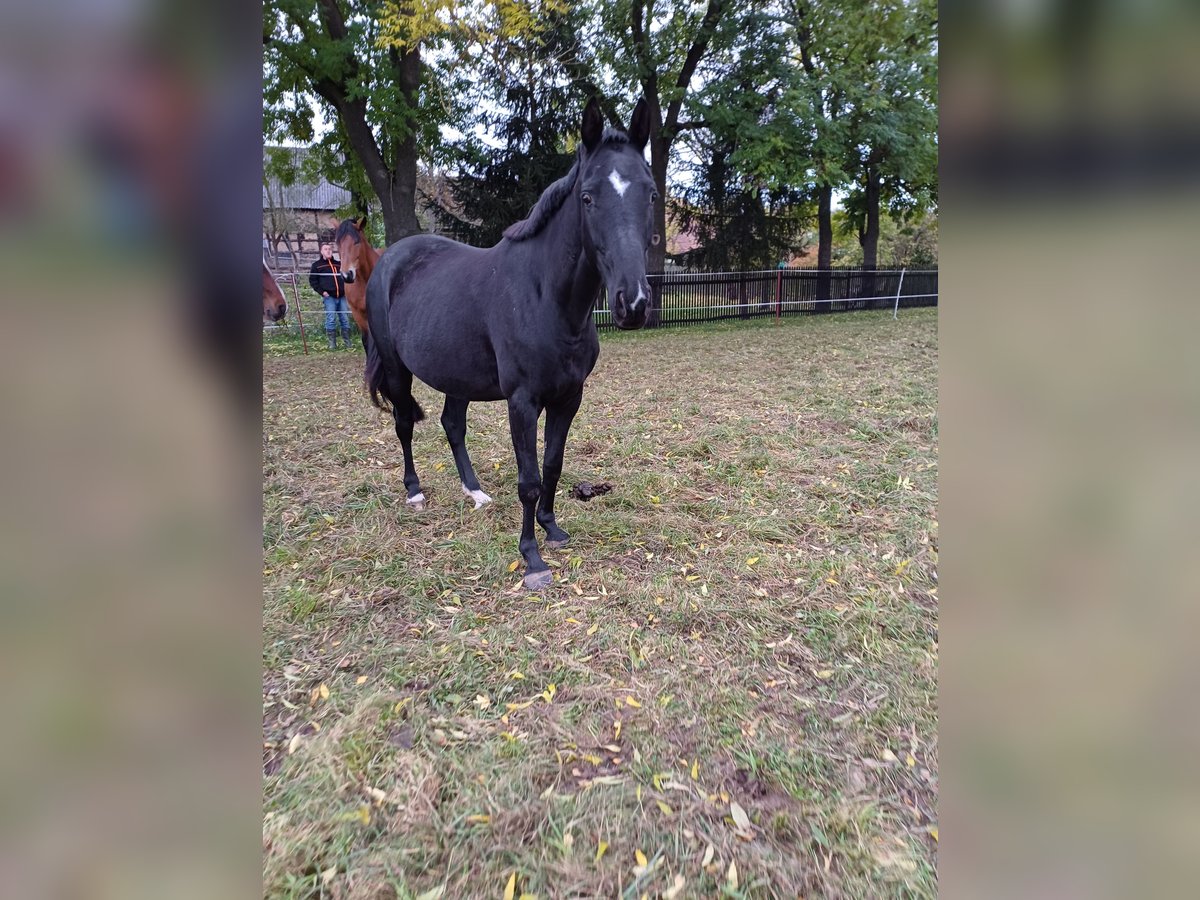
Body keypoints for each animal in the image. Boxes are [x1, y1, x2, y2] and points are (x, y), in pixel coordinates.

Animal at [362, 98, 652, 592]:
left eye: (649, 193)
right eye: (588, 197)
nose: (631, 302)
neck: (545, 297)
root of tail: (390, 260)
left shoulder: (568, 398)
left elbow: (553, 464)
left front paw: (553, 529)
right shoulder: (522, 402)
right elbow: (529, 479)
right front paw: (532, 558)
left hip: (456, 376)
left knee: (452, 425)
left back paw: (475, 492)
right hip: (399, 373)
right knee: (403, 424)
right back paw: (415, 491)